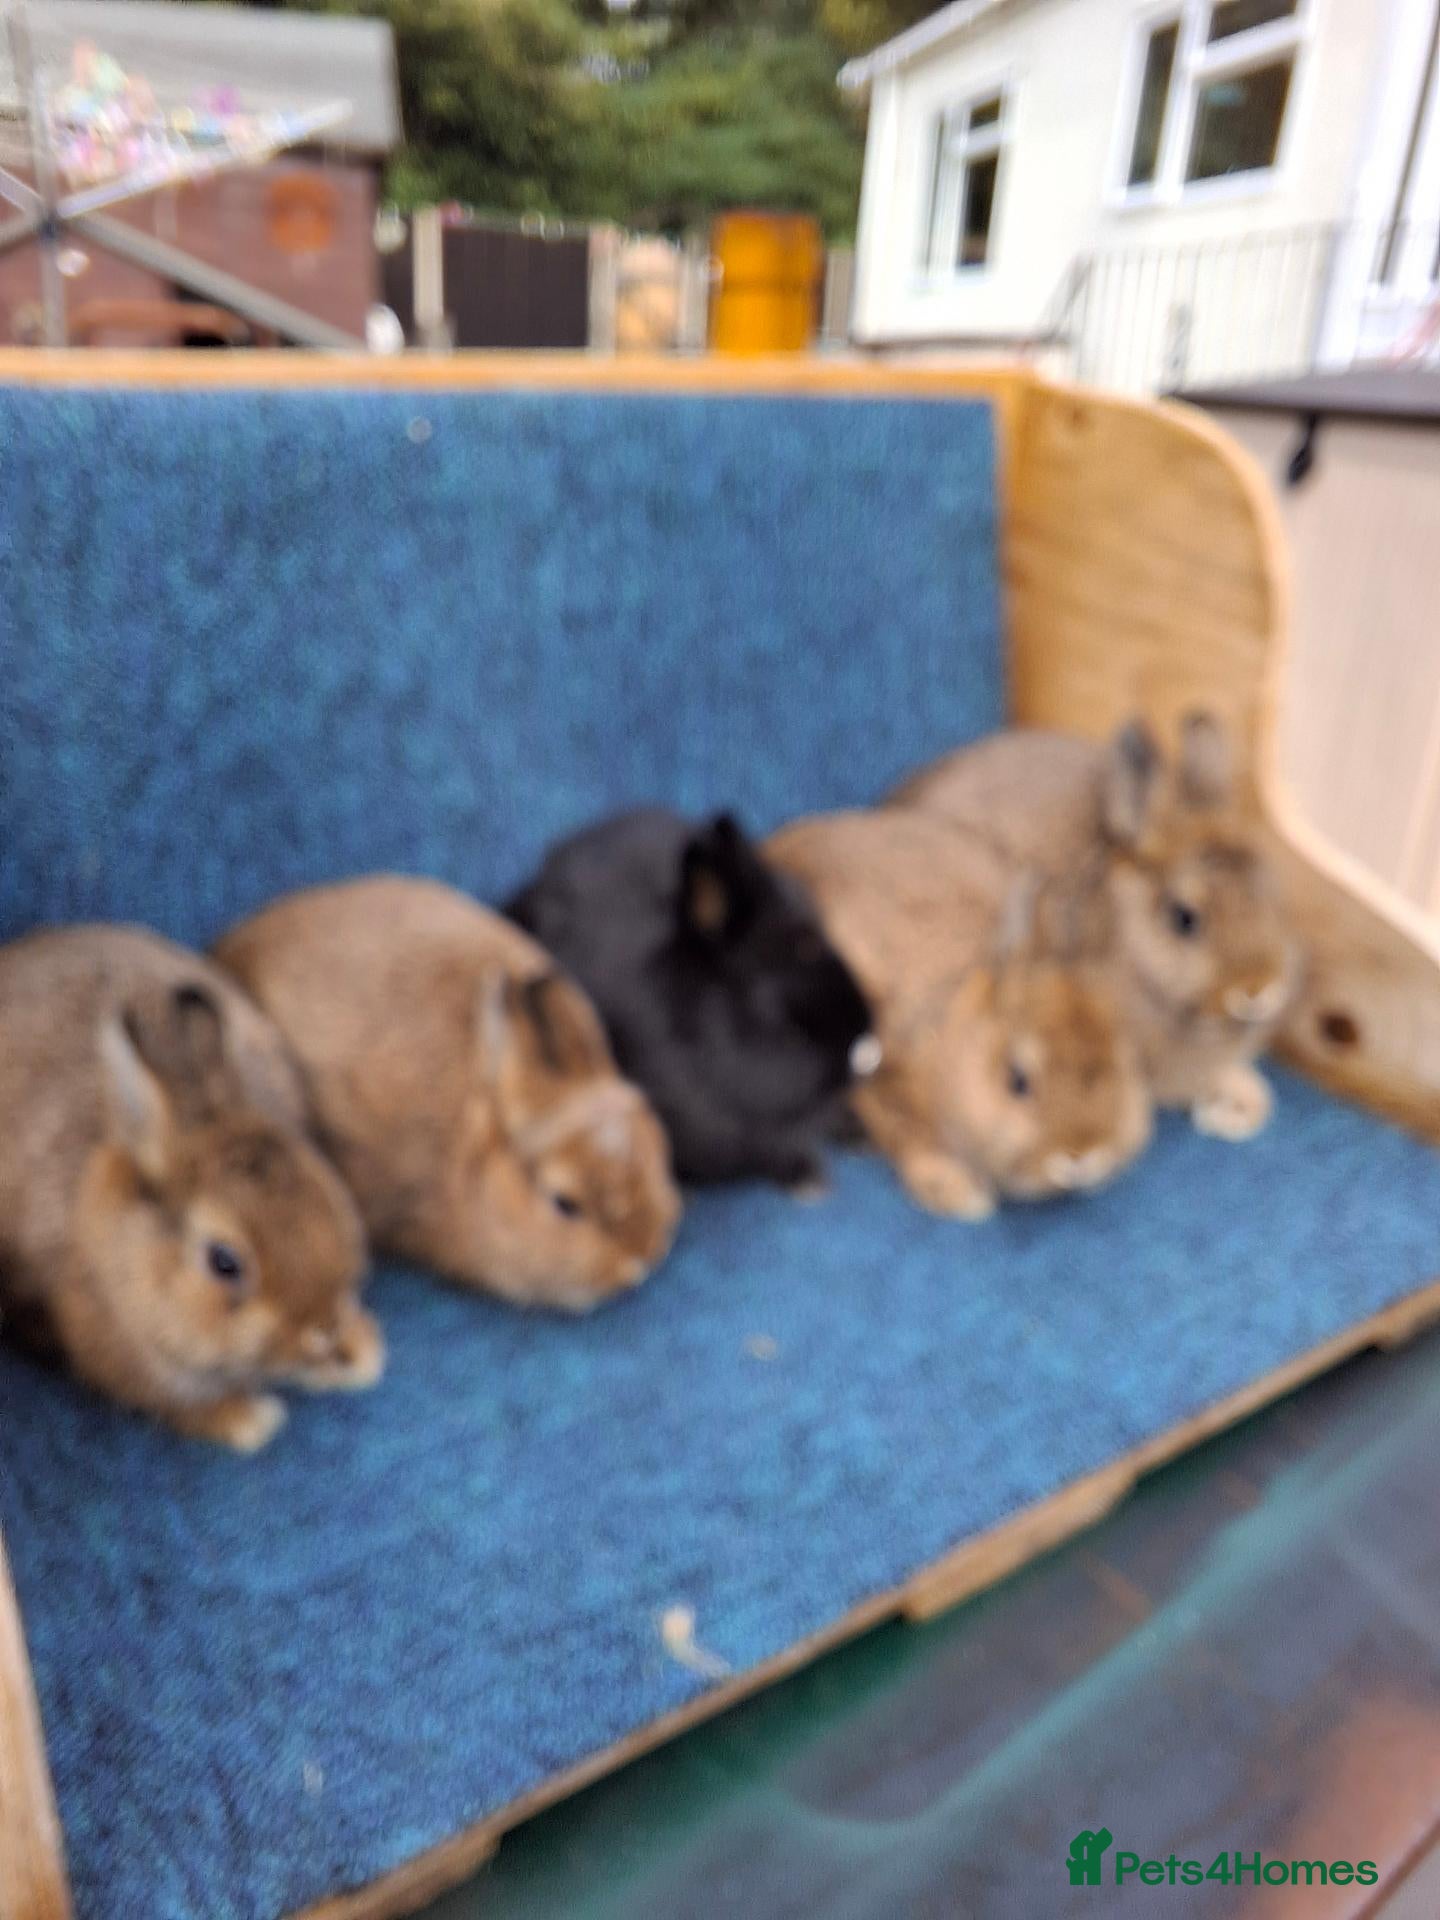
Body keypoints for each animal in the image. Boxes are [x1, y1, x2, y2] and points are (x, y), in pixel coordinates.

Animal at [0, 926, 382, 1451]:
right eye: (224, 1262)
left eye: (326, 1200)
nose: (321, 1329)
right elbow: (180, 1404)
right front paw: (250, 1421)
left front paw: (362, 1354)